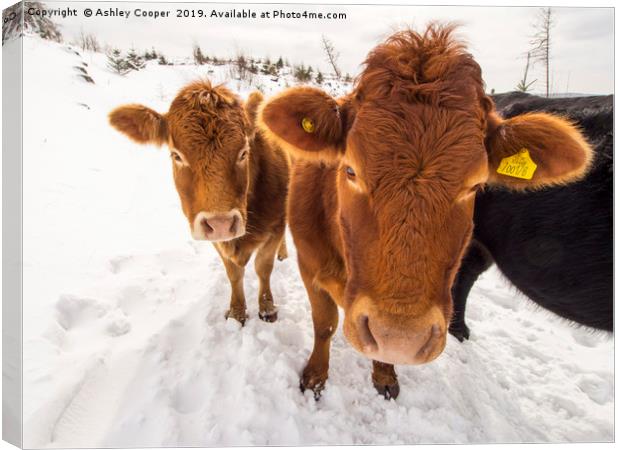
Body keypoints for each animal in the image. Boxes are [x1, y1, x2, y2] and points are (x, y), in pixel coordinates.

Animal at [108, 81, 288, 326]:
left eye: (244, 152)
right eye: (176, 155)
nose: (221, 223)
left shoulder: (275, 227)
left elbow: (263, 268)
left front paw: (267, 308)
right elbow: (233, 273)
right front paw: (237, 312)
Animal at [256, 23, 592, 400]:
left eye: (476, 184)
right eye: (351, 169)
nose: (399, 337)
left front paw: (385, 374)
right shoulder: (310, 267)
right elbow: (324, 324)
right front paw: (315, 377)